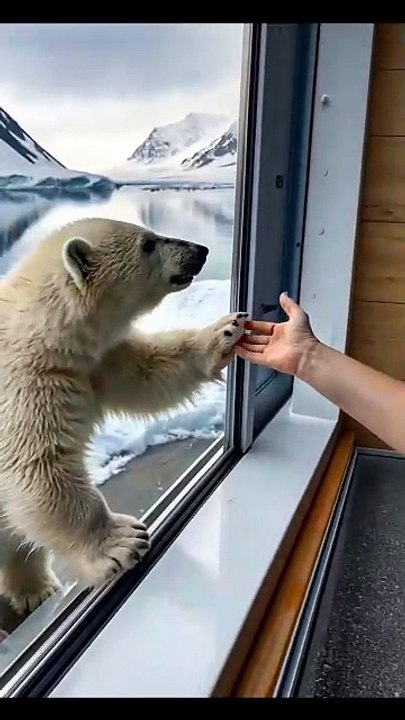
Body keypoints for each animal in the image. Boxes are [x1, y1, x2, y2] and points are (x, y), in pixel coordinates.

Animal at [0, 217, 248, 615]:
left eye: (152, 233)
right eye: (148, 243)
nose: (200, 250)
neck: (42, 333)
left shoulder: (95, 363)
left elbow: (146, 373)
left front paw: (224, 331)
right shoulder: (25, 385)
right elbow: (38, 467)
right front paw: (123, 541)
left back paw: (35, 589)